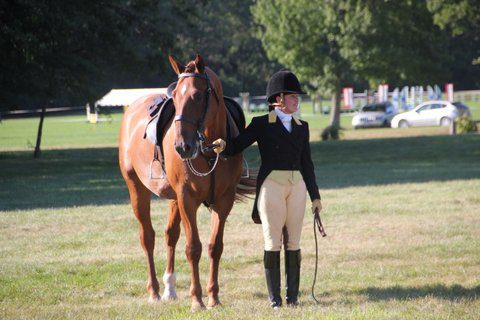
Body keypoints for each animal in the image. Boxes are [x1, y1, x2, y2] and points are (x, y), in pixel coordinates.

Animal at [118, 54, 253, 310]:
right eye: (176, 98)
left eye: (198, 95)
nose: (182, 146)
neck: (209, 149)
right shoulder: (187, 198)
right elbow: (193, 248)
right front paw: (197, 299)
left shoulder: (223, 200)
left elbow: (214, 247)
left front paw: (213, 297)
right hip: (137, 188)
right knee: (147, 237)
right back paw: (154, 291)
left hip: (174, 198)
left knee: (170, 234)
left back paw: (169, 288)